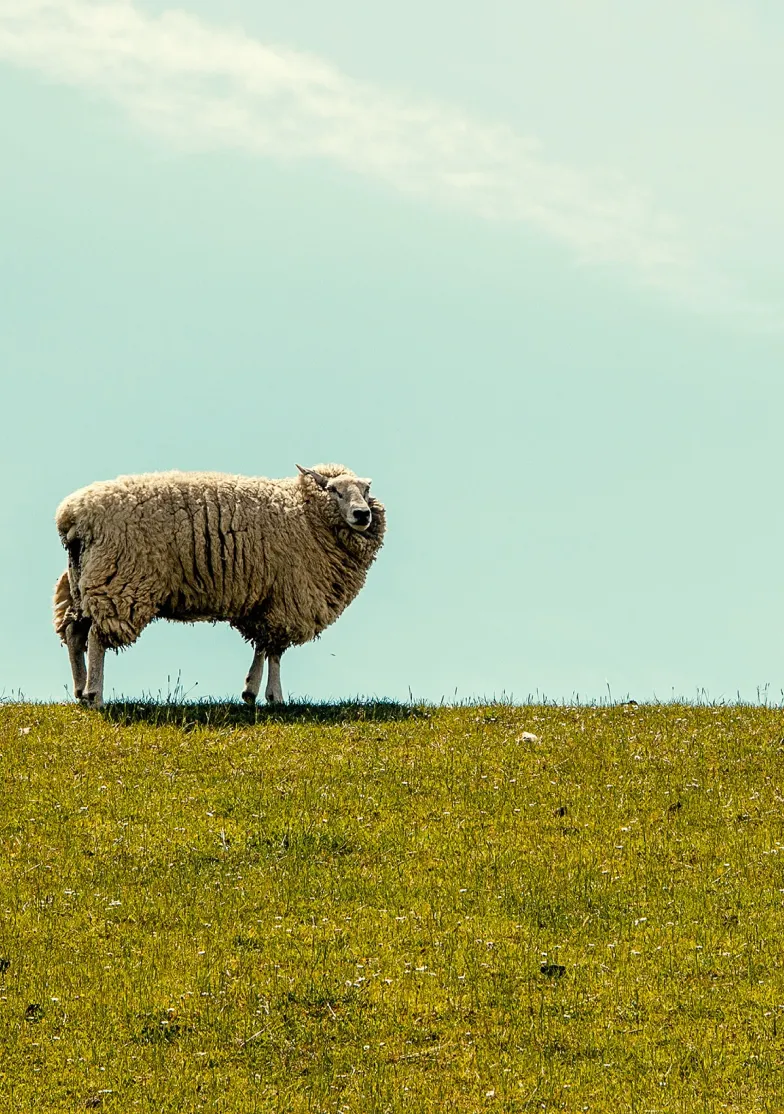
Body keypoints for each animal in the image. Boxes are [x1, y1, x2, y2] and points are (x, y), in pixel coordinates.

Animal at [52, 464, 386, 707]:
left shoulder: (264, 601)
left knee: (74, 632)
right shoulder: (287, 599)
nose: (362, 514)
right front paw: (275, 697)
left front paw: (251, 691)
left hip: (83, 580)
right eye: (333, 490)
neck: (305, 513)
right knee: (96, 637)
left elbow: (263, 646)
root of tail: (72, 515)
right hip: (119, 581)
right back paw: (95, 694)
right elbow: (275, 650)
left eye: (366, 489)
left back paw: (80, 691)